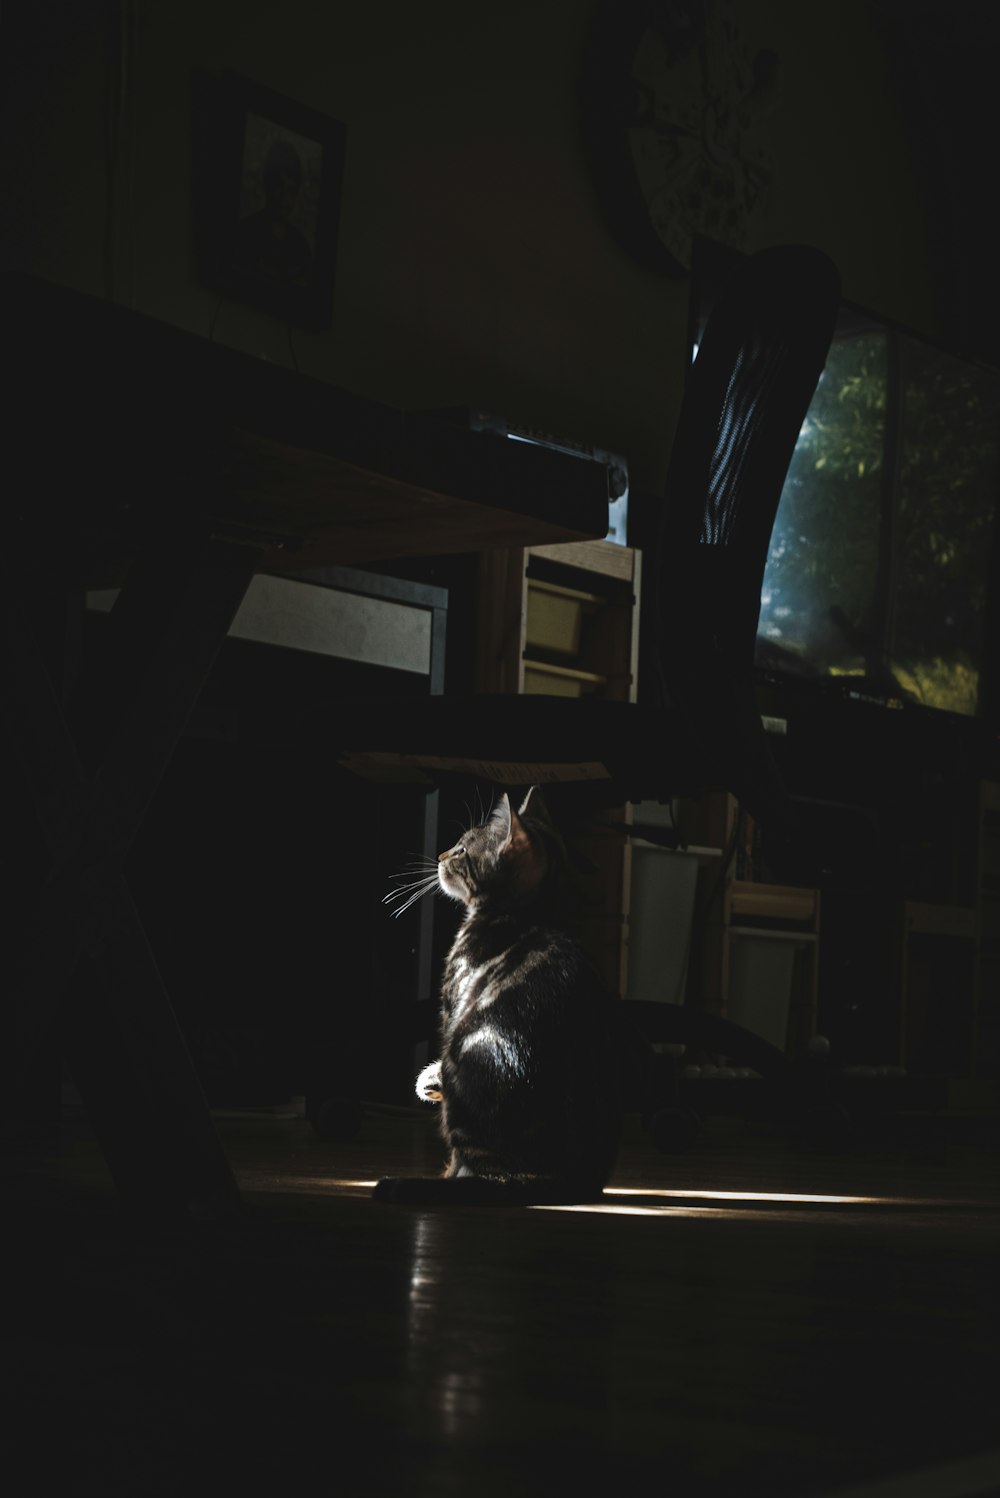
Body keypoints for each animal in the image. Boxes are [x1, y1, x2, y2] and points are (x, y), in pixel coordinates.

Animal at [377, 784, 625, 1204]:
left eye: (462, 850)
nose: (441, 855)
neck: (530, 913)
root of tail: (568, 1178)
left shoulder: (453, 1007)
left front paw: (429, 1082)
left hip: (465, 1055)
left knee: (473, 1166)